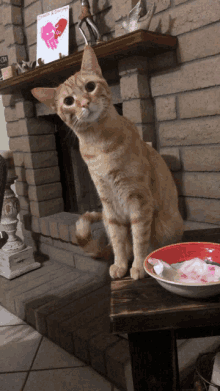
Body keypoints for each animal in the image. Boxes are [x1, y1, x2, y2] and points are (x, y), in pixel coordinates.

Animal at [31, 44, 184, 280]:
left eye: (90, 86)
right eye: (68, 101)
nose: (84, 103)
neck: (100, 144)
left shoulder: (139, 200)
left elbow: (139, 239)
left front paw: (139, 266)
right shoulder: (109, 205)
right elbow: (119, 241)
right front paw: (120, 265)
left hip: (167, 225)